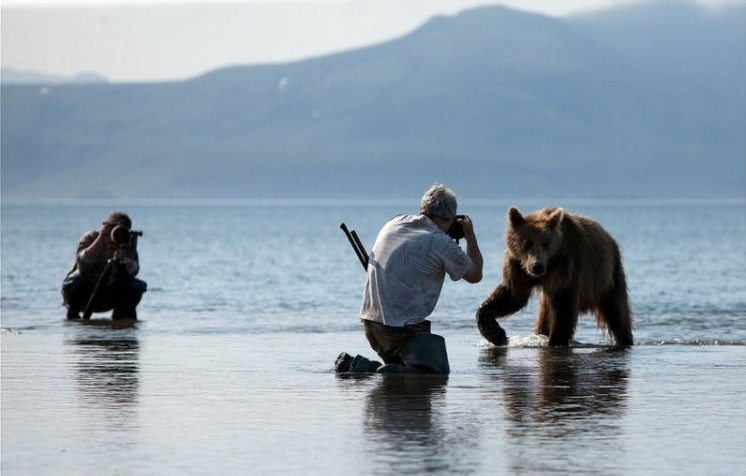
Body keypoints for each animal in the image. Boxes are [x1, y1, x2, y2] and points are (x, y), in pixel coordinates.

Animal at [476, 206, 628, 348]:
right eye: (527, 242)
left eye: (546, 243)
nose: (537, 266)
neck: (548, 265)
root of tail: (610, 238)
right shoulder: (519, 268)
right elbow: (513, 295)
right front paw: (496, 334)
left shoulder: (565, 267)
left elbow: (564, 306)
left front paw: (556, 340)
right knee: (544, 315)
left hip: (608, 276)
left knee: (617, 312)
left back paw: (624, 338)